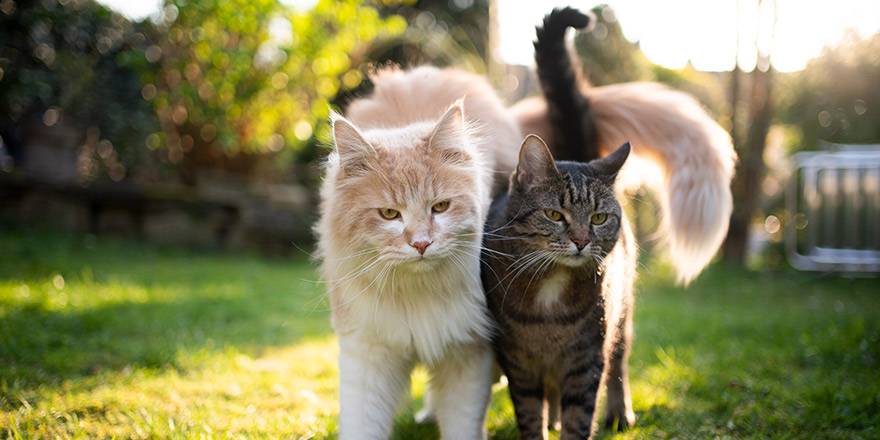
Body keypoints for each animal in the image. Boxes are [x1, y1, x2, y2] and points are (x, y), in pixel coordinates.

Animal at [316, 66, 524, 440]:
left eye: (440, 207)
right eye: (389, 214)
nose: (421, 243)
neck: (415, 294)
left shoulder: (467, 350)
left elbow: (462, 425)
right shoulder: (367, 352)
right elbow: (361, 423)